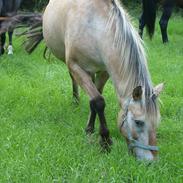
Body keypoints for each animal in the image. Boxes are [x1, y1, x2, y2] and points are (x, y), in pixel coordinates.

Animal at [2, 0, 164, 160]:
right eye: (138, 122)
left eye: (157, 122)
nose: (152, 161)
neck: (95, 27)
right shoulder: (76, 66)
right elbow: (98, 101)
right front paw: (105, 142)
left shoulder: (104, 71)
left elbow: (95, 98)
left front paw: (90, 129)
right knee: (73, 80)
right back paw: (75, 100)